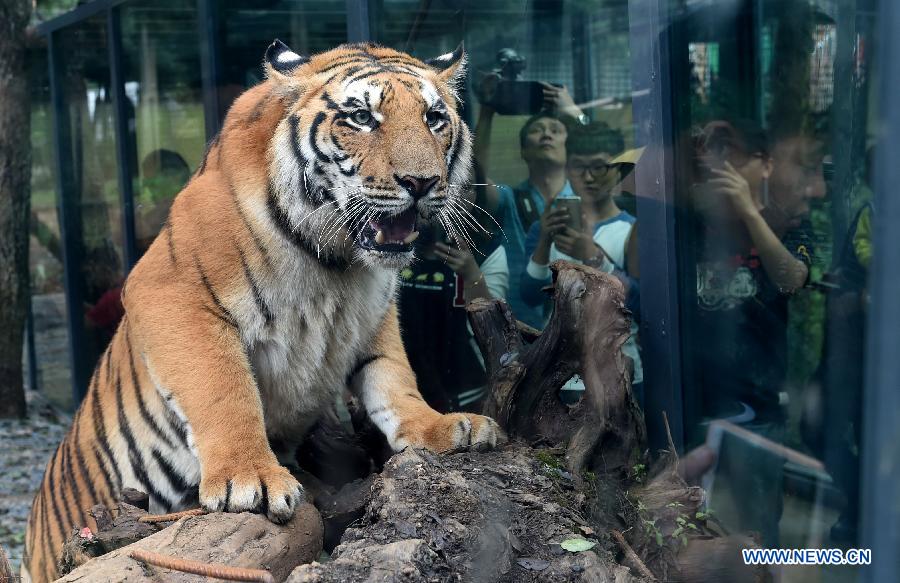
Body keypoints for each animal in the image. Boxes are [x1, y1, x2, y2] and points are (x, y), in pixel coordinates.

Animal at [22, 41, 500, 583]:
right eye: (361, 117)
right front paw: (249, 477)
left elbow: (394, 378)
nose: (421, 183)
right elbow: (224, 387)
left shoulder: (373, 312)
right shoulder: (168, 291)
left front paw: (441, 427)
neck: (337, 264)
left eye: (434, 118)